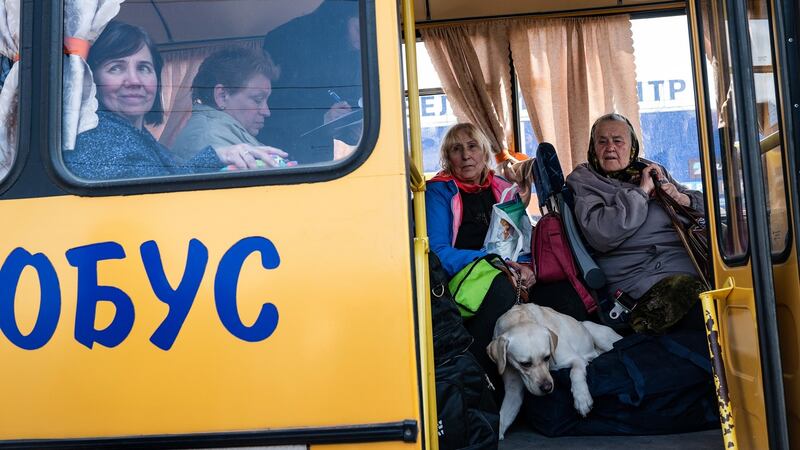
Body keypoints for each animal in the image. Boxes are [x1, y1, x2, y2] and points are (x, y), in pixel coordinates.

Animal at [484, 304, 620, 438]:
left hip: (596, 332)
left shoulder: (576, 360)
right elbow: (502, 420)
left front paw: (582, 398)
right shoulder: (513, 392)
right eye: (525, 364)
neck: (519, 319)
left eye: (547, 357)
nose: (547, 388)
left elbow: (575, 373)